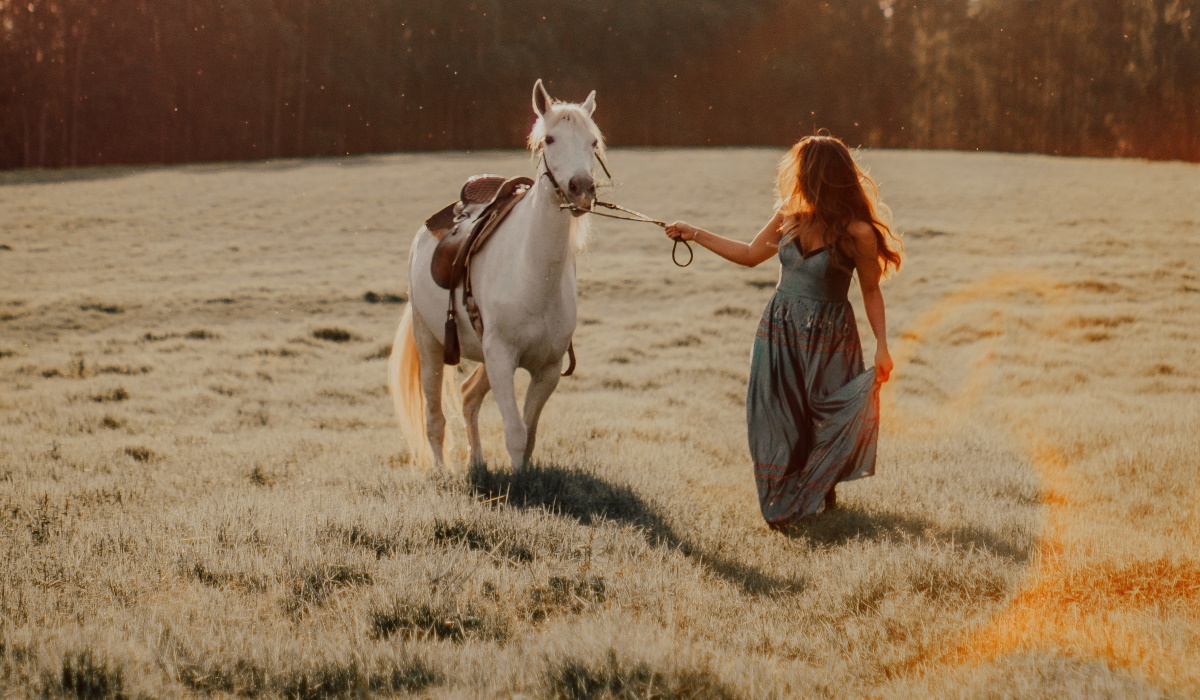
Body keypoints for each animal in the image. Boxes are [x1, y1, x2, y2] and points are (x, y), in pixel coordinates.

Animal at [388, 82, 604, 473]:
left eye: (592, 141)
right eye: (549, 139)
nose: (581, 188)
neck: (534, 278)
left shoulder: (547, 369)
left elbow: (528, 435)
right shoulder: (502, 359)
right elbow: (515, 433)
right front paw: (517, 485)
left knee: (468, 396)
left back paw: (476, 462)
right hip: (430, 343)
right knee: (435, 418)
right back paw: (441, 472)